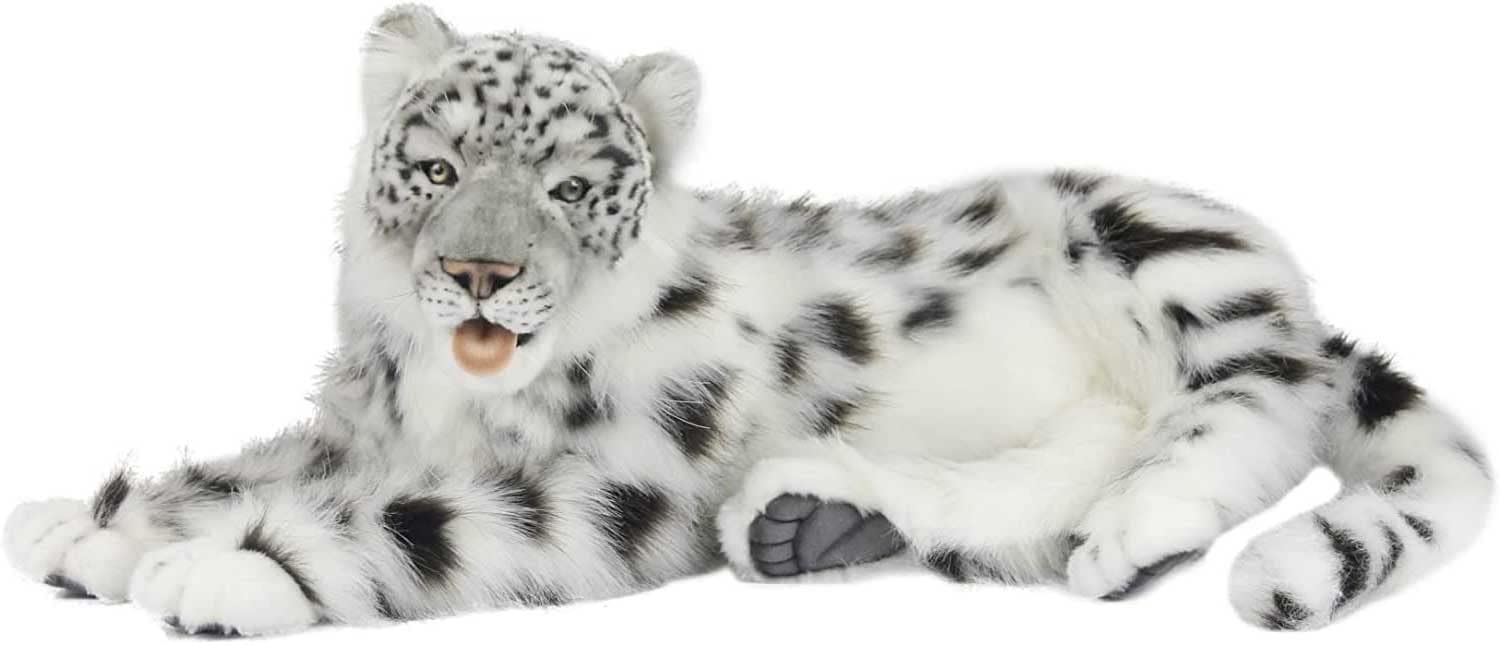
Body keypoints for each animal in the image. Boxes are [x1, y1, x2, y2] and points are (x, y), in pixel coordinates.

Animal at [4, 5, 1489, 636]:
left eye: (567, 184)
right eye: (435, 164)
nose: (479, 273)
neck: (448, 396)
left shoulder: (618, 483)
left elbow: (415, 524)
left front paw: (217, 570)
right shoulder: (359, 428)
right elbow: (248, 467)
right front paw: (89, 526)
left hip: (1162, 244)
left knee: (1249, 397)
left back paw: (1154, 522)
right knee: (1048, 484)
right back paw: (818, 518)